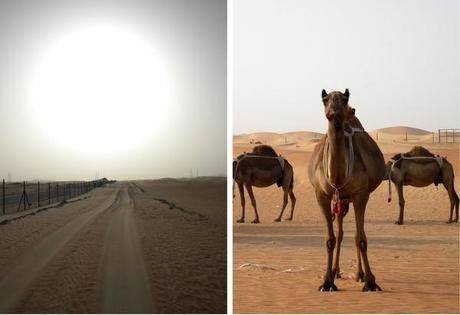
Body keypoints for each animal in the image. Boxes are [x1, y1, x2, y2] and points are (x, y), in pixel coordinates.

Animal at [308, 89, 386, 292]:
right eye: (324, 99)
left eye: (344, 99)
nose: (333, 110)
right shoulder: (322, 195)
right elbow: (330, 239)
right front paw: (327, 282)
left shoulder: (361, 195)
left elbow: (361, 239)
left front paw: (371, 282)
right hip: (340, 201)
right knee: (341, 233)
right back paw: (336, 272)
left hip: (350, 199)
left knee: (355, 235)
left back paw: (360, 274)